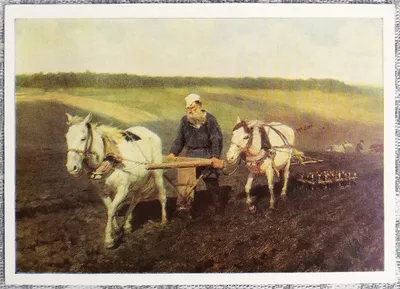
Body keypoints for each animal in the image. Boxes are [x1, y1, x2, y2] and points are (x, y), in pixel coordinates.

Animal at [65, 112, 167, 248]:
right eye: (67, 138)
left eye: (83, 138)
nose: (72, 168)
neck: (110, 159)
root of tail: (149, 132)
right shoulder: (103, 192)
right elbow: (111, 209)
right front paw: (116, 228)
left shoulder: (123, 190)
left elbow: (112, 209)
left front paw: (109, 239)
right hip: (139, 180)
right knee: (136, 199)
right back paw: (127, 224)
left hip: (157, 172)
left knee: (161, 195)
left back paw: (164, 221)